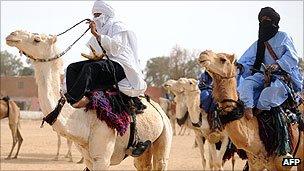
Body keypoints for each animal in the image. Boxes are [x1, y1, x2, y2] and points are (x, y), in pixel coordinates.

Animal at [7, 30, 172, 170]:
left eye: (37, 39)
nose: (12, 35)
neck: (82, 118)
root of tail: (159, 109)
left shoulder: (102, 158)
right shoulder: (89, 159)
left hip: (164, 135)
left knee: (160, 161)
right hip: (145, 147)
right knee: (143, 165)